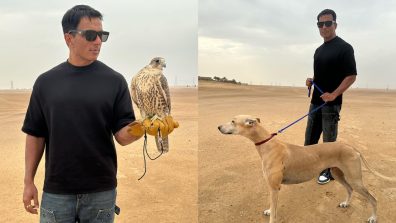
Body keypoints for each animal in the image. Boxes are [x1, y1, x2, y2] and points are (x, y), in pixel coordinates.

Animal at [218, 115, 394, 223]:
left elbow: (274, 211)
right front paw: (268, 210)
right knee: (349, 189)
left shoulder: (275, 187)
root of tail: (351, 146)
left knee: (373, 198)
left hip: (355, 178)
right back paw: (345, 203)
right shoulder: (272, 187)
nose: (218, 127)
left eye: (233, 121)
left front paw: (271, 214)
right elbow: (272, 207)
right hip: (338, 174)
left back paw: (373, 218)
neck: (267, 144)